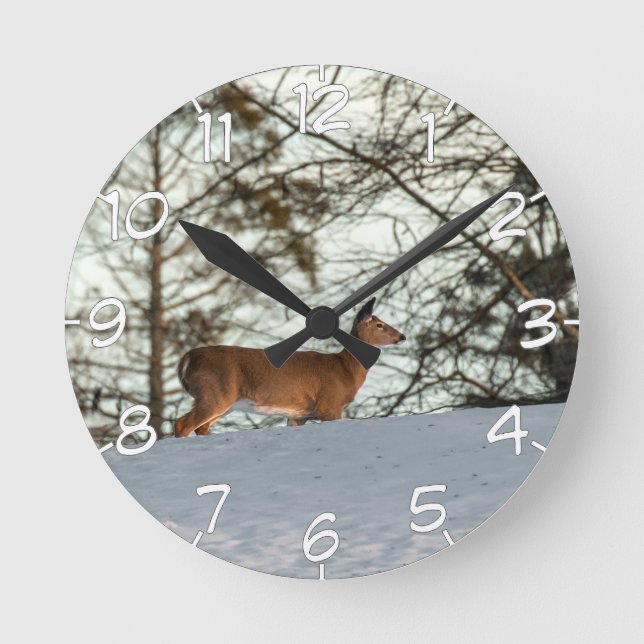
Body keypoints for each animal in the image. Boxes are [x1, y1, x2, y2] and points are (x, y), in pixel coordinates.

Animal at [174, 298, 405, 437]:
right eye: (379, 324)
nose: (402, 336)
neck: (345, 369)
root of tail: (187, 358)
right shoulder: (329, 405)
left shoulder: (298, 415)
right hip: (214, 393)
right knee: (182, 424)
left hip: (222, 401)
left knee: (200, 427)